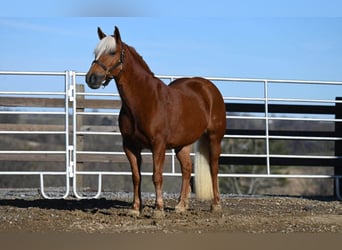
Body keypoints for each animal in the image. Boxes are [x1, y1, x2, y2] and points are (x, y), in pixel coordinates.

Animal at [85, 25, 226, 217]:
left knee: (214, 167)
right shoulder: (130, 146)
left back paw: (216, 205)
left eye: (112, 52)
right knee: (186, 169)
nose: (91, 78)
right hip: (182, 144)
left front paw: (158, 210)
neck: (144, 99)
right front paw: (135, 209)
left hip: (214, 137)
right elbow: (136, 176)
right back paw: (181, 205)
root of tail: (209, 87)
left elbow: (156, 176)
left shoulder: (158, 145)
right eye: (96, 53)